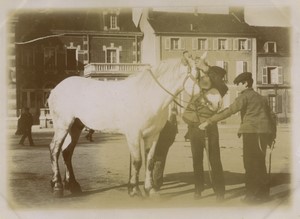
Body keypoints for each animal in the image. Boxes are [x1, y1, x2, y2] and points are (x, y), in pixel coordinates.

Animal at [47, 54, 199, 198]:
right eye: (198, 76)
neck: (147, 96)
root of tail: (56, 89)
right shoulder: (134, 135)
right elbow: (137, 161)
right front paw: (135, 191)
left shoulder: (153, 135)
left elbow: (149, 161)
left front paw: (149, 190)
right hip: (62, 126)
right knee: (55, 149)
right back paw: (57, 187)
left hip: (75, 127)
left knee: (67, 152)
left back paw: (73, 186)